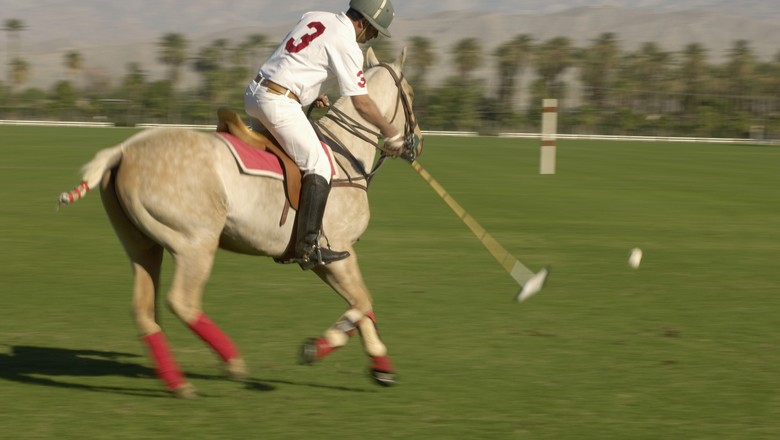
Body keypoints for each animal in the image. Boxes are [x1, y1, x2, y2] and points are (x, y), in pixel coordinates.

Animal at [56, 49, 420, 398]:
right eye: (412, 94)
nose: (415, 142)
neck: (346, 157)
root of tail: (123, 150)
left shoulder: (327, 258)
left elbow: (361, 303)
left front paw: (382, 367)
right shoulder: (337, 251)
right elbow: (362, 302)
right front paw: (318, 347)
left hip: (142, 245)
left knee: (144, 310)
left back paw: (177, 383)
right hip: (195, 243)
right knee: (182, 302)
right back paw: (232, 362)